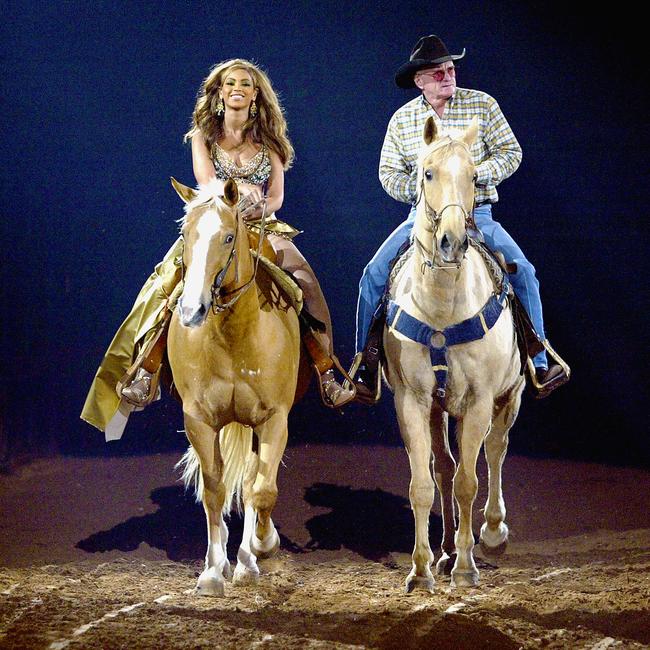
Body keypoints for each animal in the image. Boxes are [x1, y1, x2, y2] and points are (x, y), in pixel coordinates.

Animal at [166, 176, 300, 592]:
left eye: (227, 238)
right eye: (185, 234)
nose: (191, 310)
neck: (233, 337)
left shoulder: (274, 420)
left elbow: (262, 490)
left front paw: (259, 548)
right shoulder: (199, 420)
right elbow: (214, 490)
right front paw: (211, 571)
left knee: (254, 482)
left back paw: (249, 555)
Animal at [382, 115, 524, 588]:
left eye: (476, 177)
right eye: (427, 173)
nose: (451, 241)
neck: (443, 308)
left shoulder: (480, 400)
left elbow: (468, 482)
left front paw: (466, 566)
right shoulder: (412, 400)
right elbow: (423, 484)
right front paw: (420, 569)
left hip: (510, 394)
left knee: (495, 450)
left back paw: (491, 533)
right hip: (439, 407)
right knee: (444, 467)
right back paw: (443, 552)